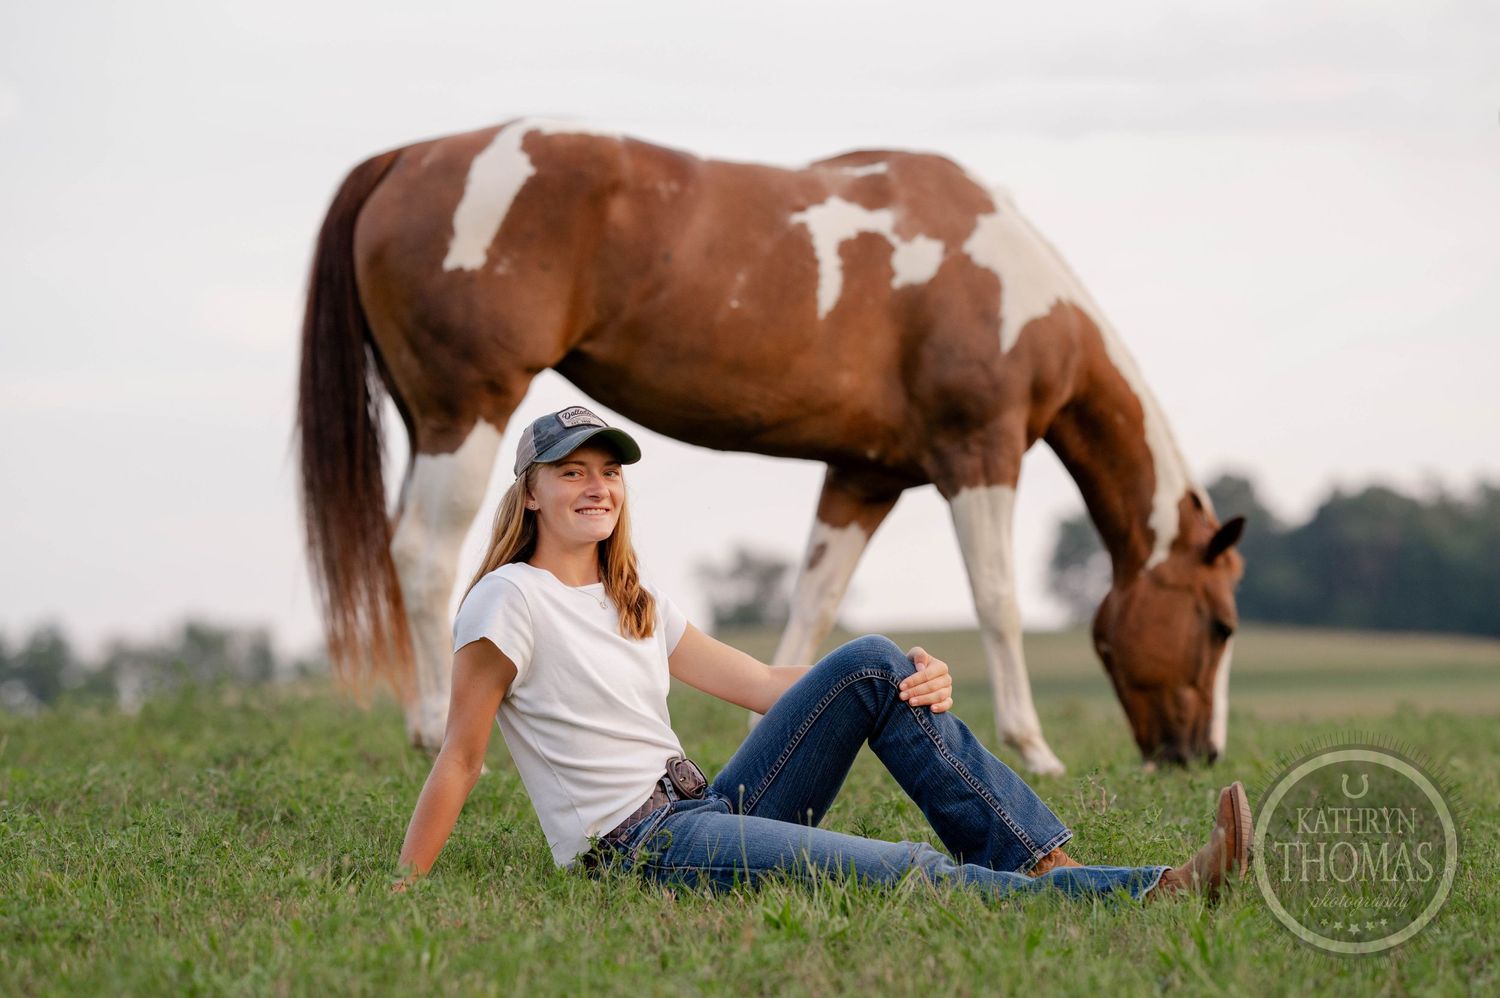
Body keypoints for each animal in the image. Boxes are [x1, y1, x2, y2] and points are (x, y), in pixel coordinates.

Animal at [297, 117, 1245, 774]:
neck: (1009, 283)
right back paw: (433, 729)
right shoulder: (980, 456)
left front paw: (771, 719)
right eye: (1222, 625)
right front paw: (1037, 749)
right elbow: (998, 601)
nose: (1199, 757)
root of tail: (409, 157)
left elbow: (811, 605)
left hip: (428, 417)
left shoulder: (863, 479)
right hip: (469, 410)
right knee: (424, 556)